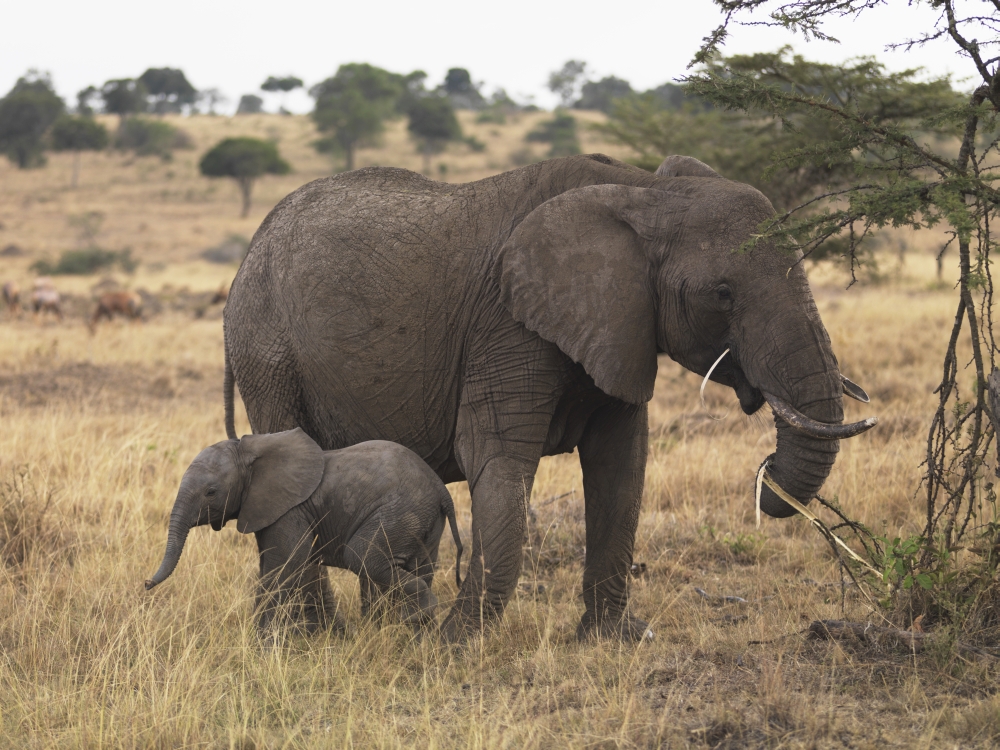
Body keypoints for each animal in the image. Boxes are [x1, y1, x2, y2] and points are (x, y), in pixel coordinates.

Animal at [145, 428, 465, 634]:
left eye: (211, 492)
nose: (146, 584)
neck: (248, 451)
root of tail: (440, 490)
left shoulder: (288, 510)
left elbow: (285, 564)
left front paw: (261, 642)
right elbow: (275, 564)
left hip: (401, 509)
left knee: (362, 556)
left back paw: (420, 613)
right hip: (423, 519)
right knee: (420, 565)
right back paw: (415, 631)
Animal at [221, 153, 877, 642]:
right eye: (722, 293)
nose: (765, 482)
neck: (647, 192)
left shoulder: (621, 326)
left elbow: (621, 467)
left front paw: (613, 641)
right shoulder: (508, 325)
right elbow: (498, 459)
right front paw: (455, 644)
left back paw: (369, 629)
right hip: (267, 349)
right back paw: (313, 636)